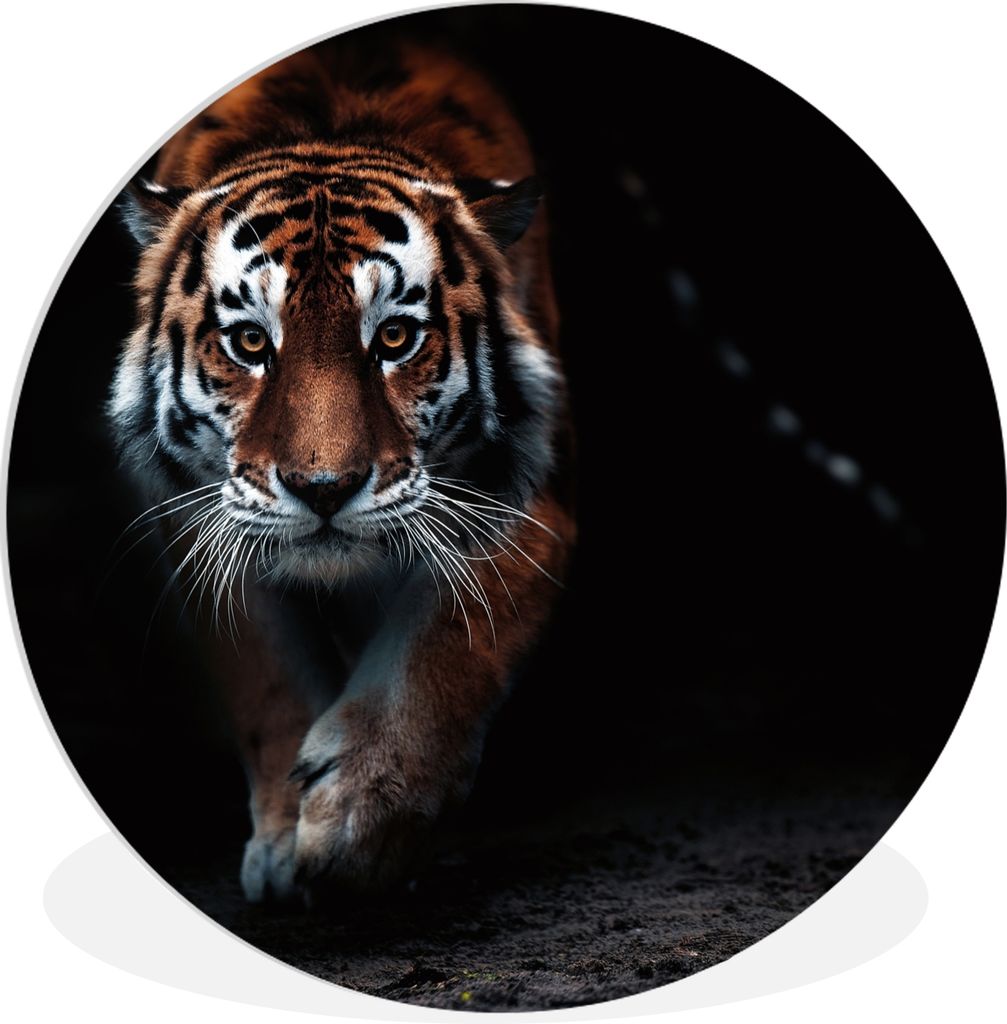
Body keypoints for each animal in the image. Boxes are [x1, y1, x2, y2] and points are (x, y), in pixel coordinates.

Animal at [108, 36, 575, 904]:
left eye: (393, 338)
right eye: (249, 343)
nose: (322, 489)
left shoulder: (526, 495)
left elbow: (448, 647)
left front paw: (361, 817)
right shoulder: (198, 513)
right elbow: (266, 674)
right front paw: (285, 843)